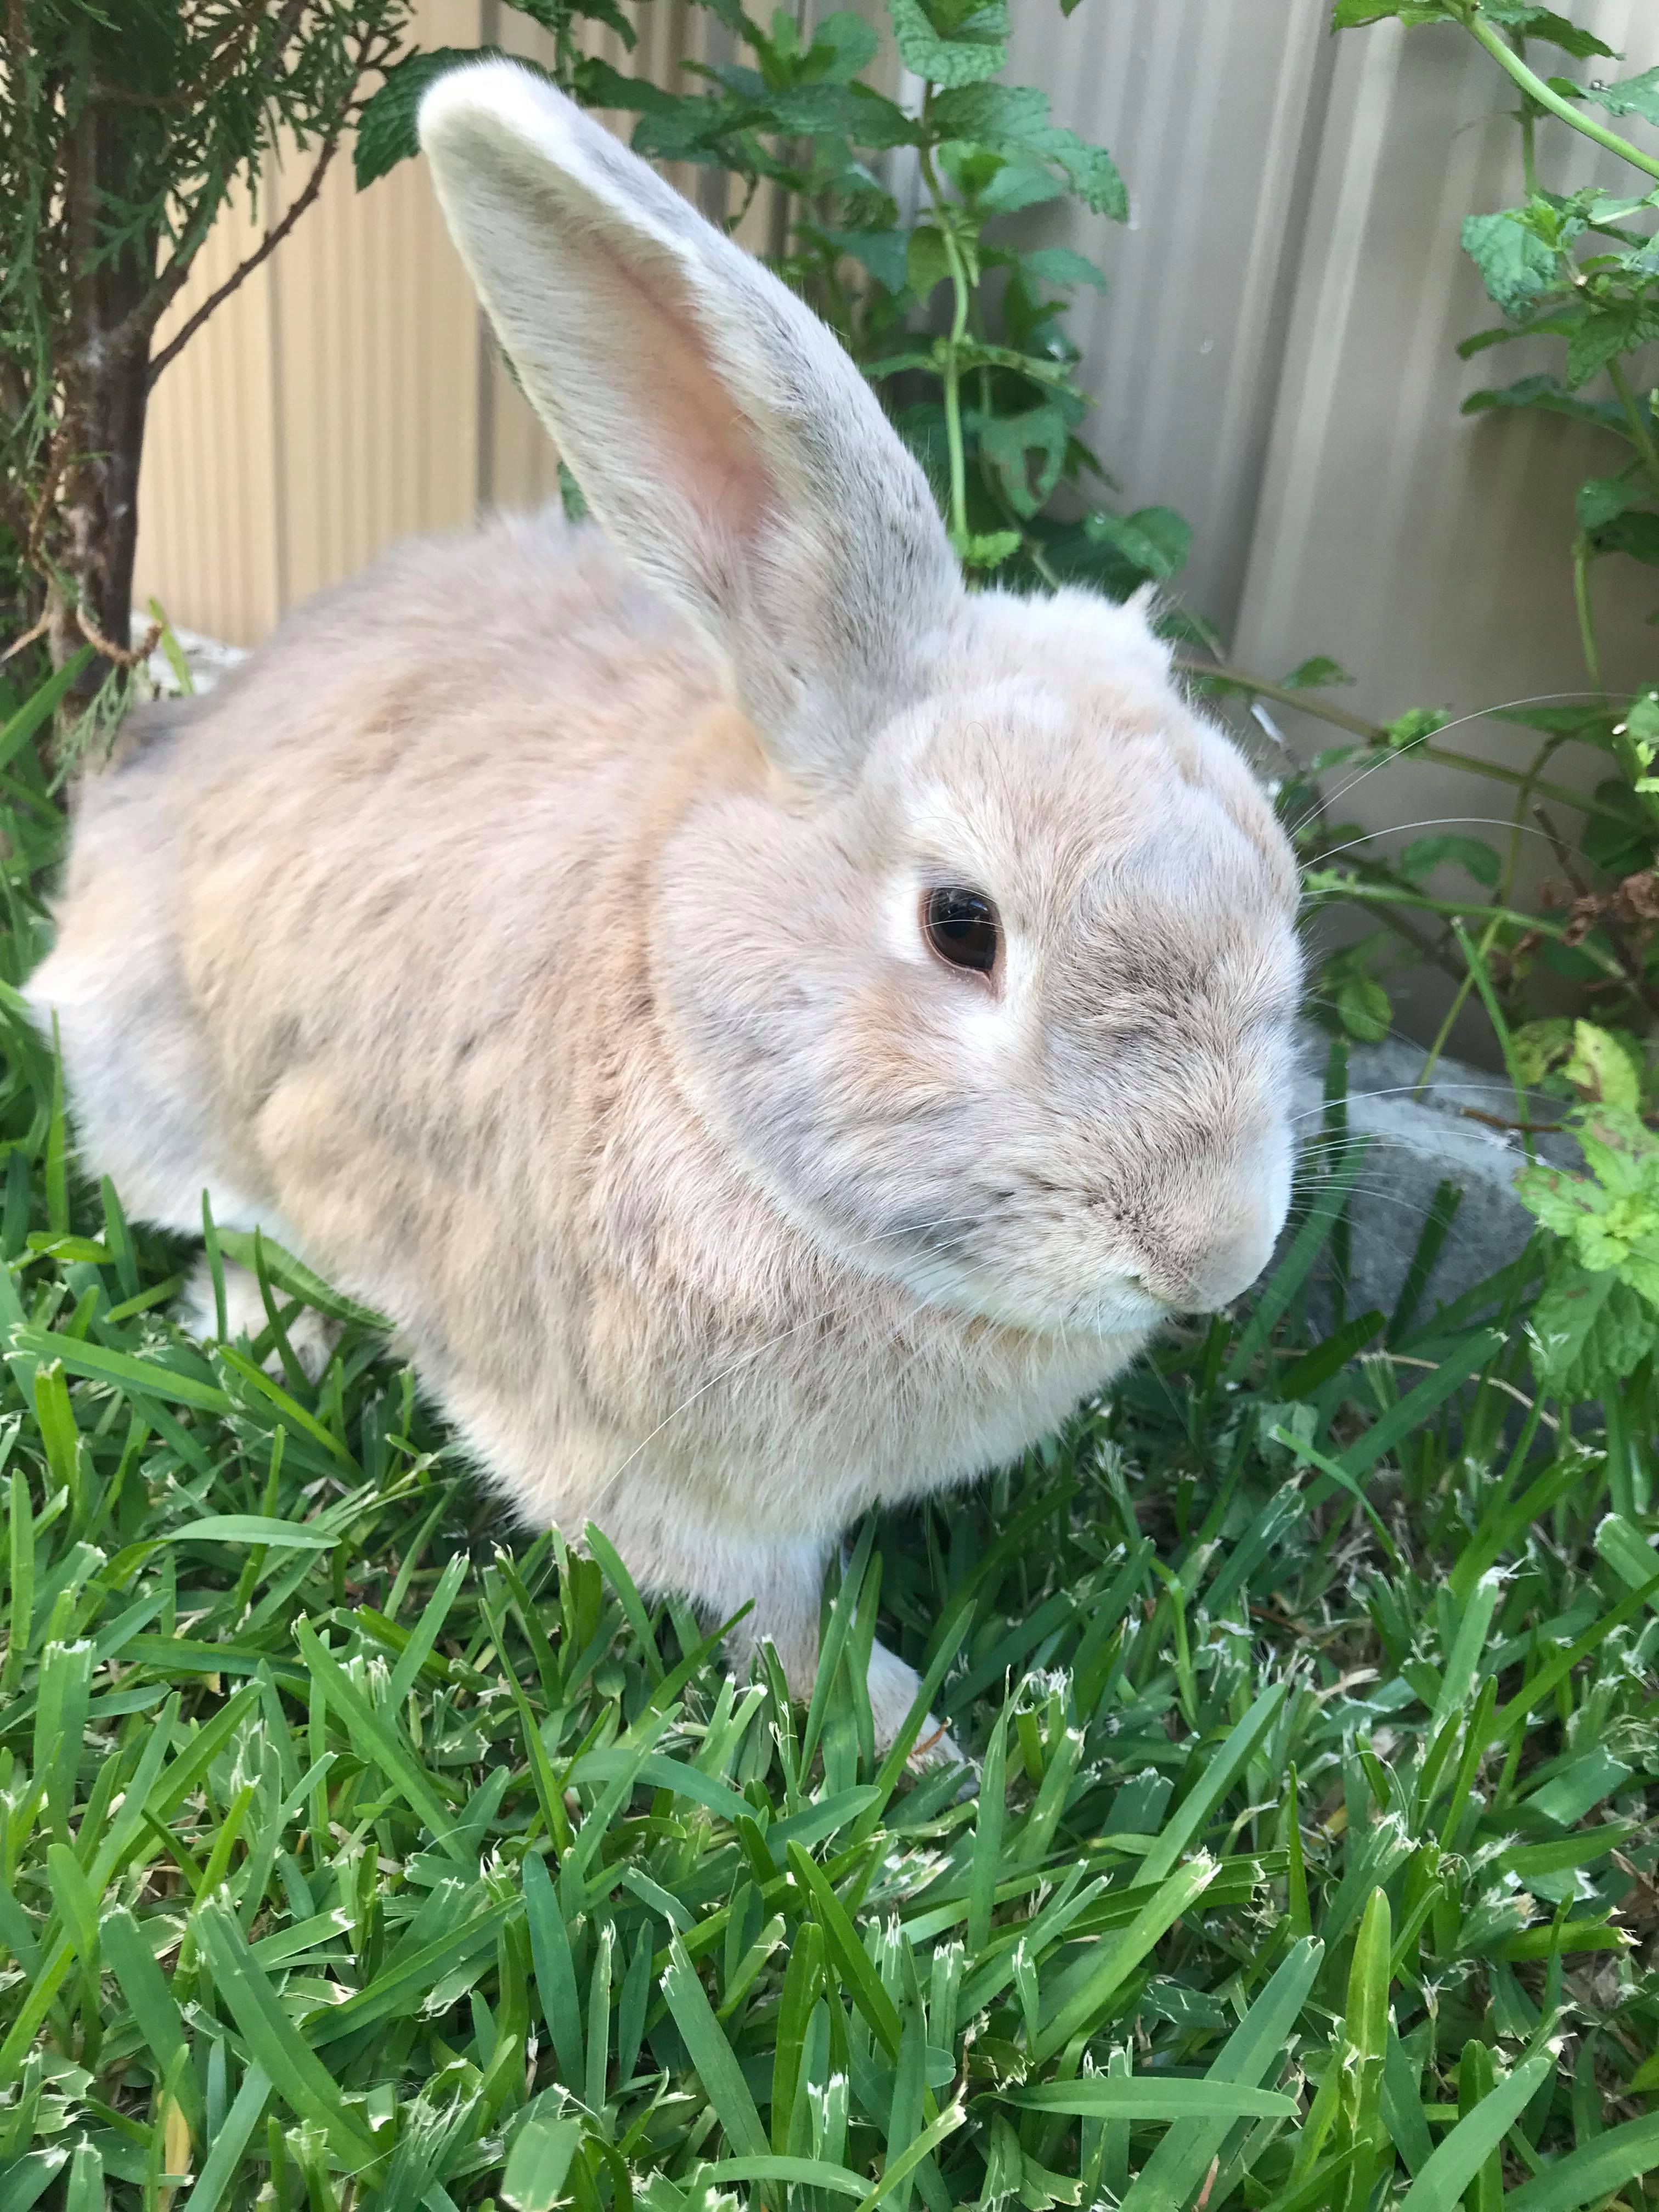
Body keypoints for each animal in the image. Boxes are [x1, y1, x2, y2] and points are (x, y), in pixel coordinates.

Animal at [25, 60, 1304, 1766]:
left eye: (1277, 881)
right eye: (962, 928)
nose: (1212, 1256)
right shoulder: (660, 1485)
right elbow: (779, 1623)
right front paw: (919, 1751)